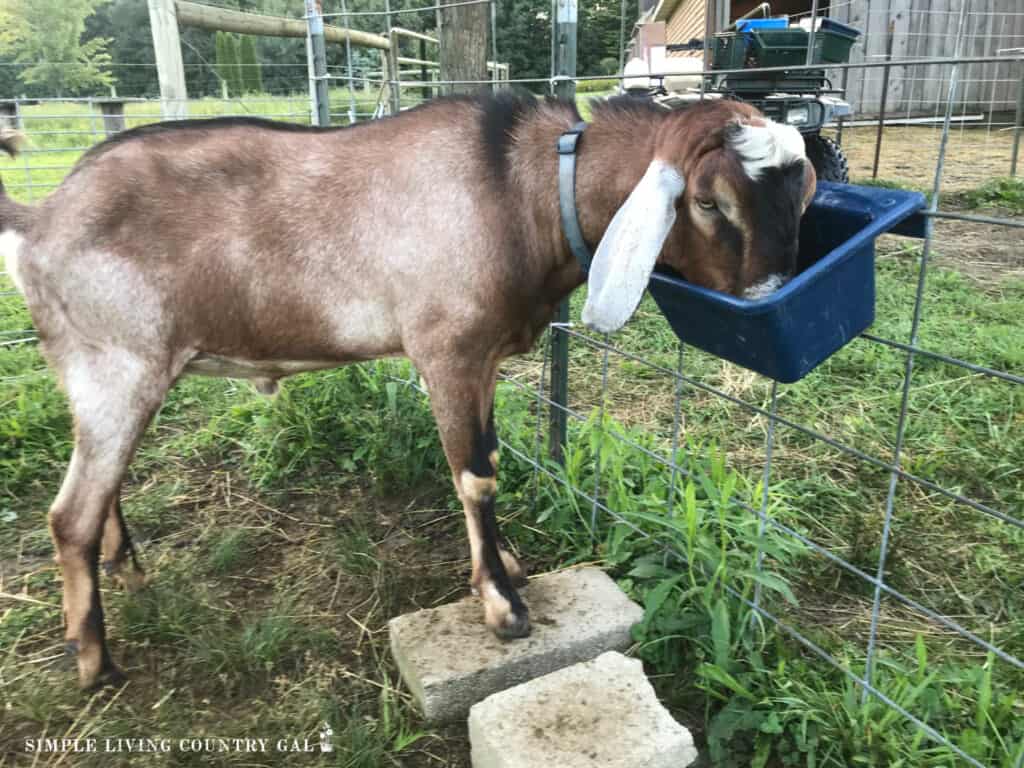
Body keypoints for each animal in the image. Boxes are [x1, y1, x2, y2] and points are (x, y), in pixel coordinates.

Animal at [0, 93, 815, 688]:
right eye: (709, 202)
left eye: (802, 193)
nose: (769, 297)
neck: (517, 192)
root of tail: (40, 217)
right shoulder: (445, 350)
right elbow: (474, 475)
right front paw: (502, 606)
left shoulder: (481, 359)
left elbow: (488, 457)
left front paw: (509, 563)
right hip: (116, 364)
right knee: (68, 516)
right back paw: (96, 663)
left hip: (111, 377)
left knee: (100, 487)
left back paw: (125, 569)